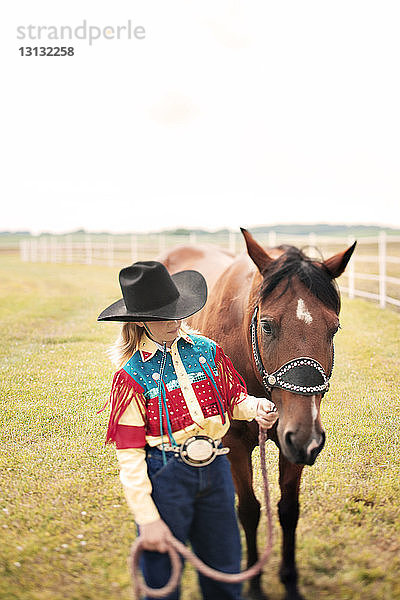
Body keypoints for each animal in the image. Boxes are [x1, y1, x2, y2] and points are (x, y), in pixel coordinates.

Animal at [160, 230, 356, 600]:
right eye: (266, 325)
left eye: (335, 328)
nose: (308, 439)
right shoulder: (237, 445)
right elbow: (249, 510)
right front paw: (253, 584)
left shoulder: (292, 443)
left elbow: (288, 510)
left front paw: (290, 581)